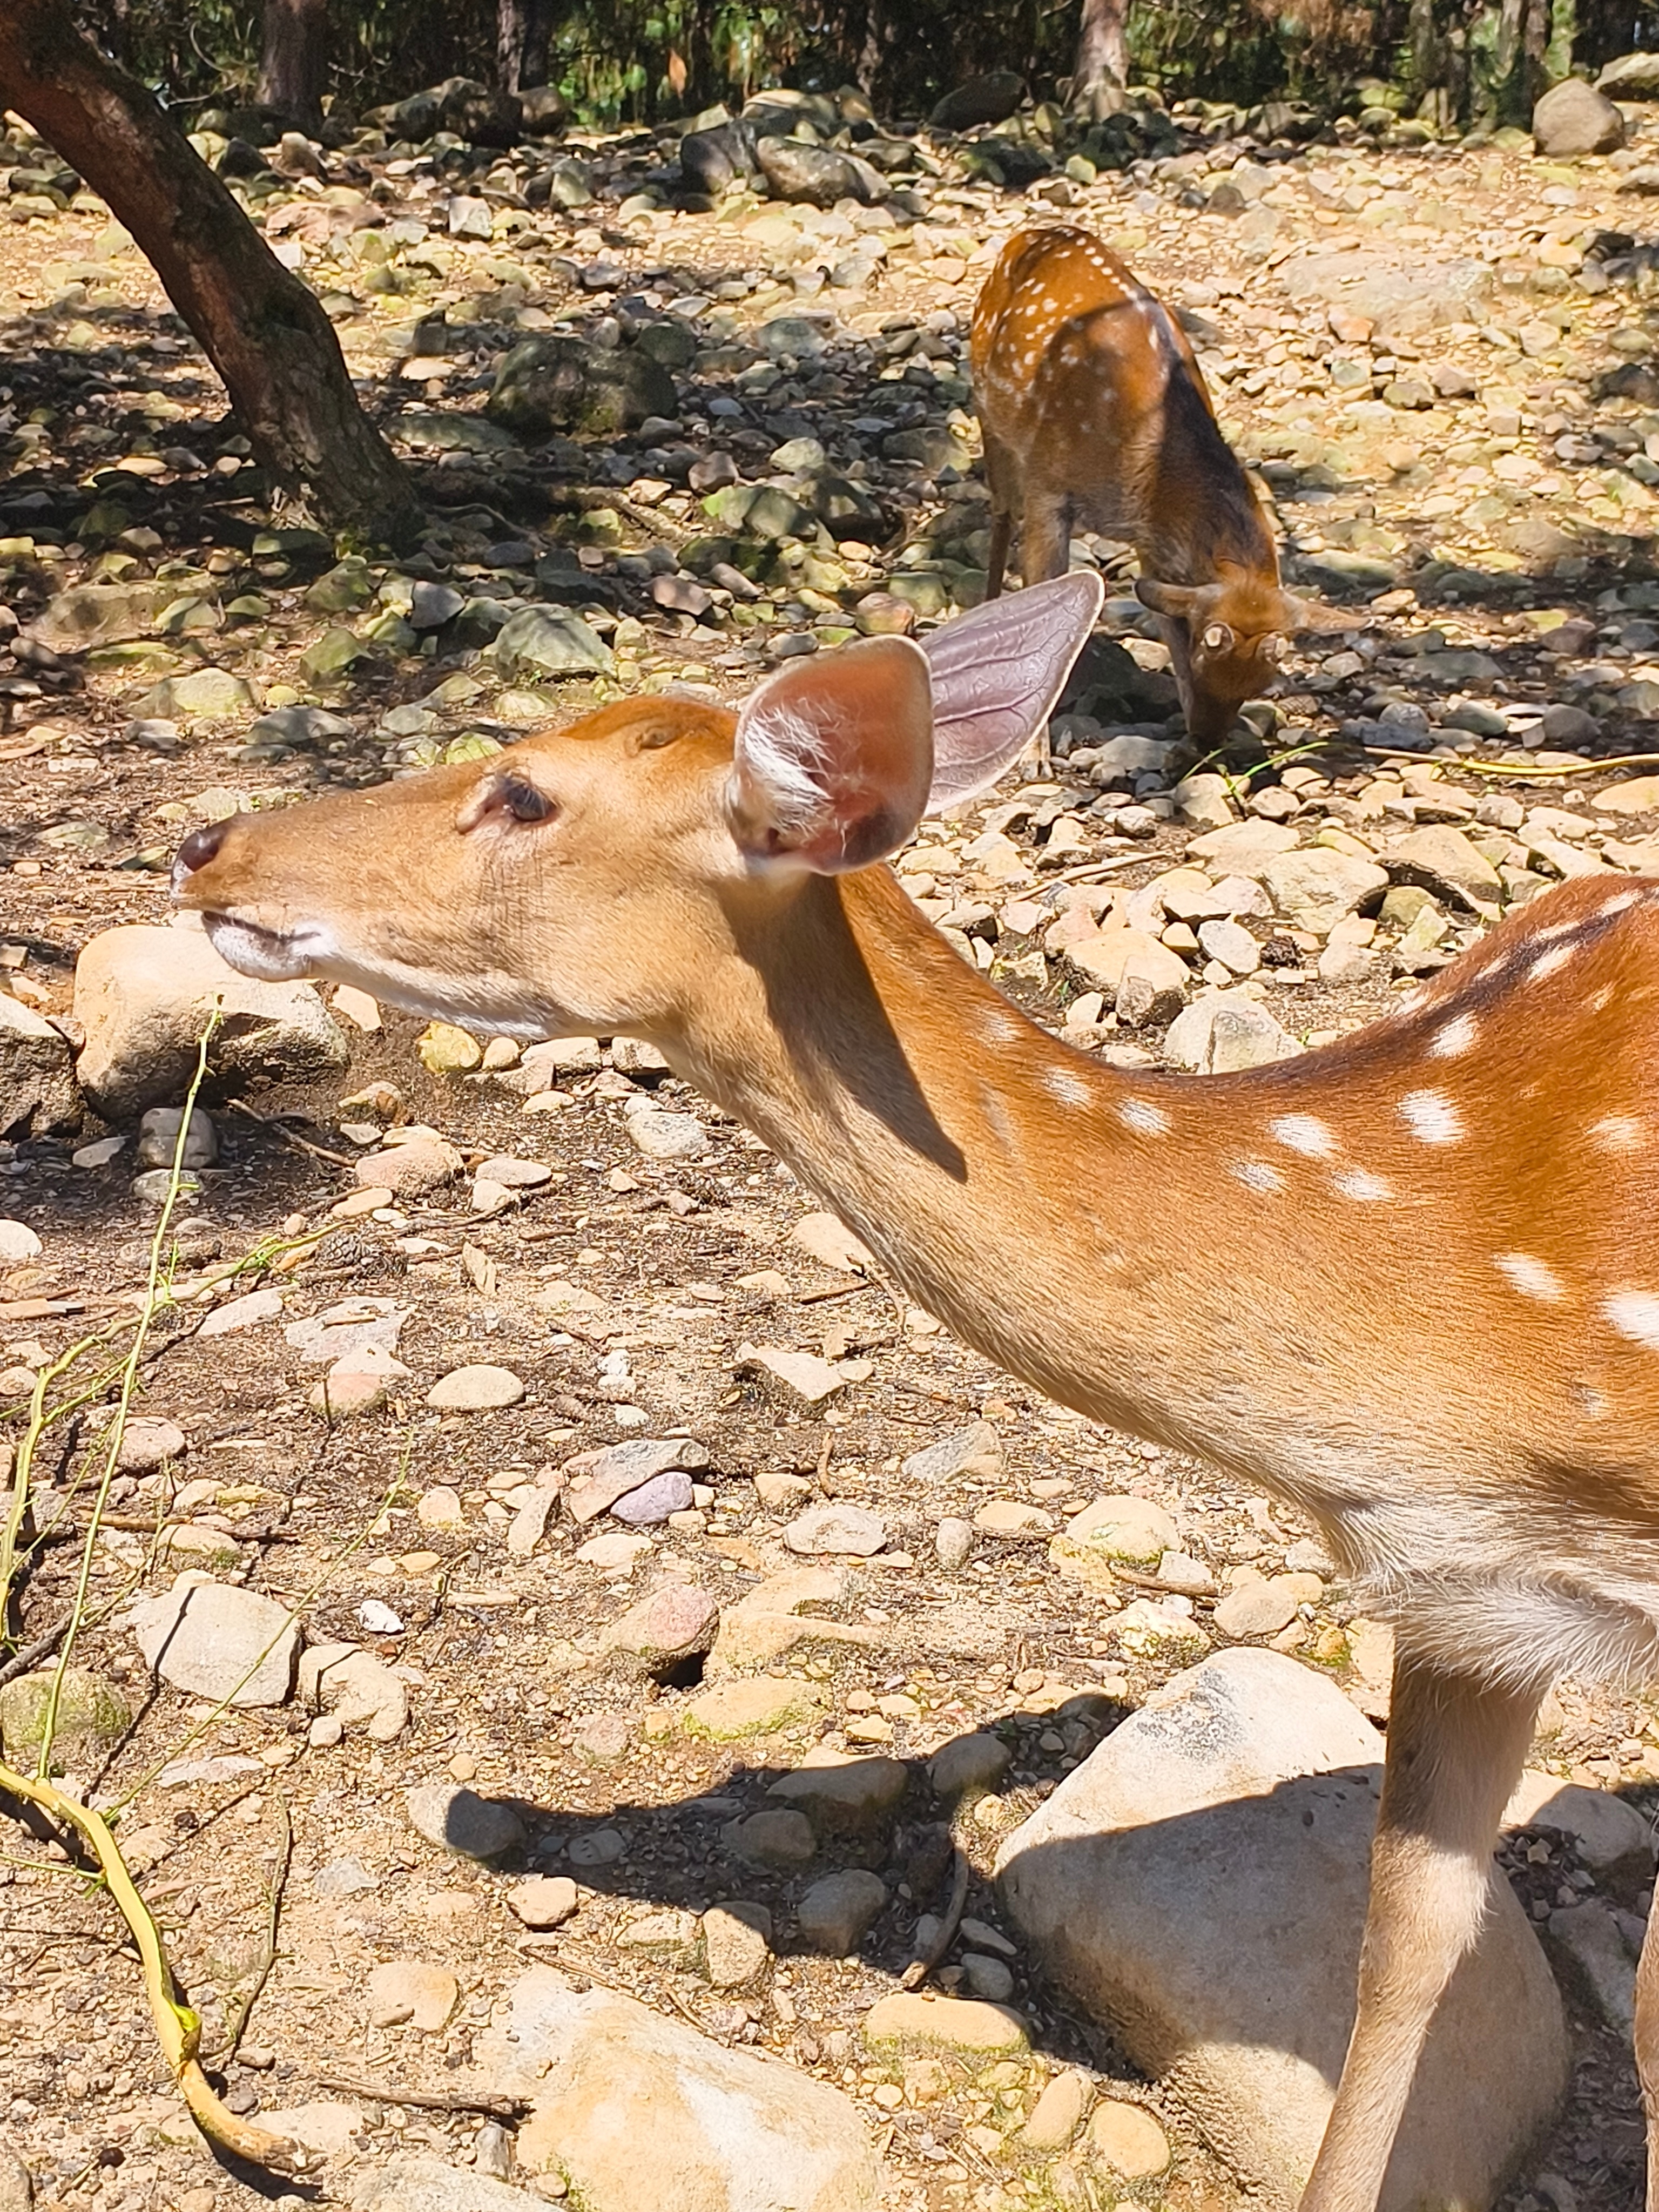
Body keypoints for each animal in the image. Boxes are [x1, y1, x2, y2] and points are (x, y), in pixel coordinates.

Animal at [972, 222, 1349, 741]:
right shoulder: (1049, 486)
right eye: (1205, 656)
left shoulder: (1155, 543)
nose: (1208, 739)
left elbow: (1160, 610)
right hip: (990, 414)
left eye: (1259, 685)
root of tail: (1034, 232)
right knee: (1001, 513)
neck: (1144, 465)